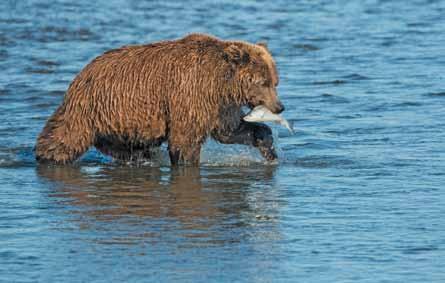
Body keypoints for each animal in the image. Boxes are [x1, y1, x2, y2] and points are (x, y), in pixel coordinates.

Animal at [34, 33, 284, 166]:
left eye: (275, 81)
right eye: (263, 82)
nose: (279, 107)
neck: (221, 85)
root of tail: (82, 72)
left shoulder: (220, 107)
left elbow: (231, 130)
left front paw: (269, 147)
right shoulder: (190, 94)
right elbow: (185, 141)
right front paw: (186, 162)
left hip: (123, 123)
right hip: (92, 107)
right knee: (66, 136)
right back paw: (46, 156)